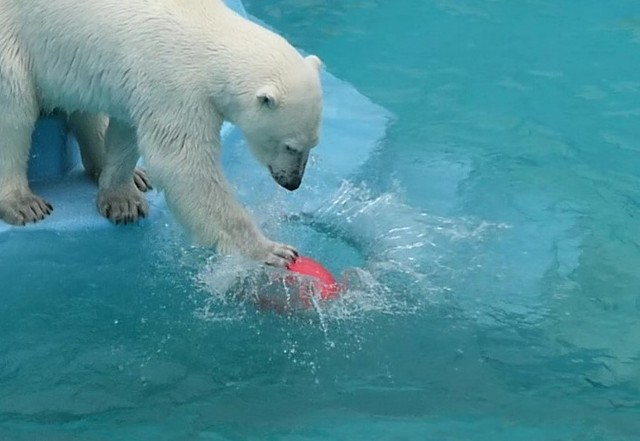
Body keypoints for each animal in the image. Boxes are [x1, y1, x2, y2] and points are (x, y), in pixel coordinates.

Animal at [0, 0, 322, 264]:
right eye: (290, 146)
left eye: (314, 144)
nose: (293, 183)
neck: (207, 29)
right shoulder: (175, 84)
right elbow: (183, 165)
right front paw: (271, 251)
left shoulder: (139, 84)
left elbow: (127, 129)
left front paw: (122, 200)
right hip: (11, 41)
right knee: (15, 110)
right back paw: (23, 203)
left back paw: (129, 175)